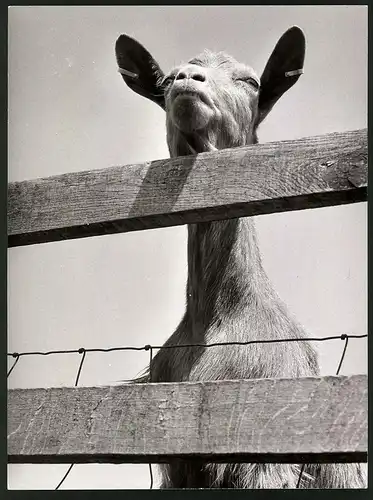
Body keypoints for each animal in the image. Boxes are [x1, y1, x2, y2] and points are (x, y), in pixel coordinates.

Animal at [115, 26, 364, 488]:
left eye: (249, 81)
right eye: (168, 79)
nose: (188, 80)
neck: (216, 320)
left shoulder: (263, 455)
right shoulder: (178, 462)